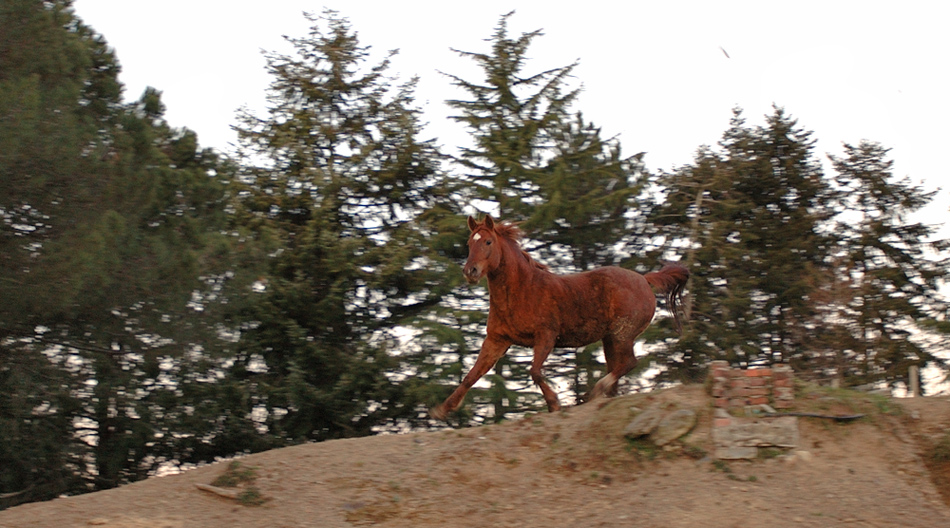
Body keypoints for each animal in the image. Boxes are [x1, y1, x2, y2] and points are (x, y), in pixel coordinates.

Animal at [429, 215, 690, 420]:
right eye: (468, 243)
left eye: (488, 241)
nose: (470, 271)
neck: (521, 290)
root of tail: (644, 279)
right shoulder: (497, 339)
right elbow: (472, 375)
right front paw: (443, 409)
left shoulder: (546, 336)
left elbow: (535, 372)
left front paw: (555, 404)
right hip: (610, 339)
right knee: (617, 367)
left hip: (622, 334)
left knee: (629, 363)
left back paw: (594, 393)